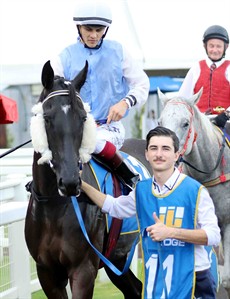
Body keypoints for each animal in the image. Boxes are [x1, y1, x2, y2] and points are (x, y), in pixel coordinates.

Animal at [24, 61, 151, 299]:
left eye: (83, 117)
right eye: (47, 117)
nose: (70, 182)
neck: (55, 206)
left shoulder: (83, 269)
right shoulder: (47, 273)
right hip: (116, 258)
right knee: (135, 289)